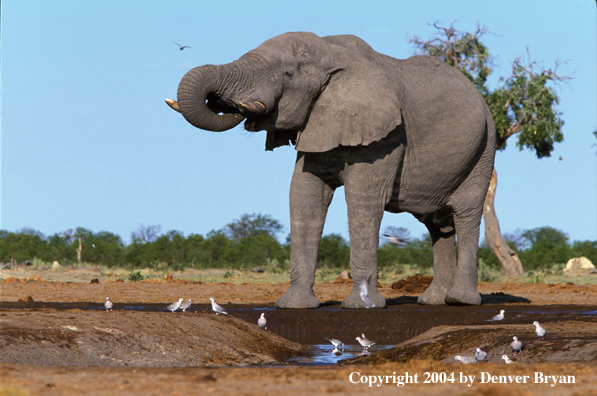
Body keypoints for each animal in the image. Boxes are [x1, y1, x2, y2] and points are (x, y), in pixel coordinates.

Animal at [165, 31, 496, 310]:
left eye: (287, 73)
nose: (226, 102)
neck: (331, 52)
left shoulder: (388, 134)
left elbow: (363, 201)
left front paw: (361, 307)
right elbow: (304, 196)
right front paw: (294, 306)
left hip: (485, 146)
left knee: (465, 214)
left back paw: (460, 301)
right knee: (437, 224)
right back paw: (432, 301)